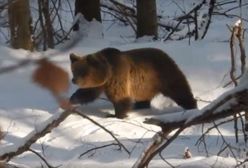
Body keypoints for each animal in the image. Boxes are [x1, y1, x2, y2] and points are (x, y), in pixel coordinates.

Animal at [69, 47, 197, 118]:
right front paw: (72, 99)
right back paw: (139, 106)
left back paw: (191, 106)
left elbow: (119, 97)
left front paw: (115, 115)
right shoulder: (100, 83)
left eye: (82, 72)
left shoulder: (118, 76)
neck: (108, 72)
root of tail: (165, 53)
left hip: (163, 74)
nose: (74, 80)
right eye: (74, 70)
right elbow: (88, 92)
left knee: (178, 89)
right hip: (145, 85)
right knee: (144, 97)